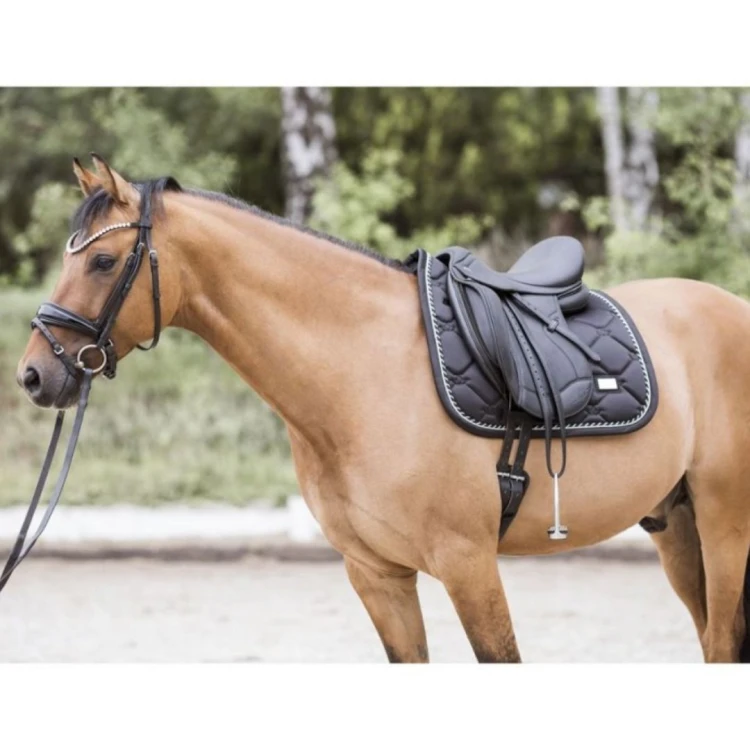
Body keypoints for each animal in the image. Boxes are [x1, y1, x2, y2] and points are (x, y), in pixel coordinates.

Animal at [15, 155, 750, 663]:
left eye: (104, 261)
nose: (35, 374)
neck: (364, 371)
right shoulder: (376, 575)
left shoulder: (468, 564)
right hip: (677, 527)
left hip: (724, 525)